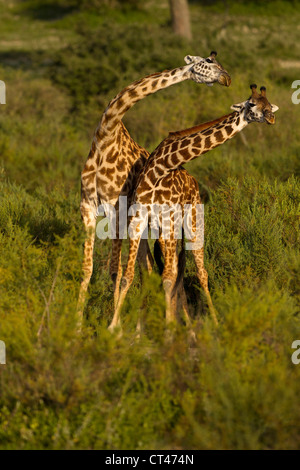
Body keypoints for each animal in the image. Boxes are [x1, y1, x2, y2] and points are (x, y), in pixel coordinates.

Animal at [77, 51, 230, 328]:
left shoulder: (117, 210)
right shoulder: (88, 207)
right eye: (208, 62)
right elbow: (88, 269)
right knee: (153, 268)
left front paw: (113, 328)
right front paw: (76, 326)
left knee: (171, 269)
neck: (105, 137)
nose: (226, 78)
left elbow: (115, 270)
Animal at [112, 84, 278, 330]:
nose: (270, 117)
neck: (161, 168)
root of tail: (195, 184)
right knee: (175, 271)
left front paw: (168, 329)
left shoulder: (169, 222)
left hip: (192, 226)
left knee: (200, 273)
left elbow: (168, 278)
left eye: (268, 104)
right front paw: (114, 328)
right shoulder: (138, 220)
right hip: (166, 233)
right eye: (252, 103)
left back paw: (211, 324)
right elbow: (129, 275)